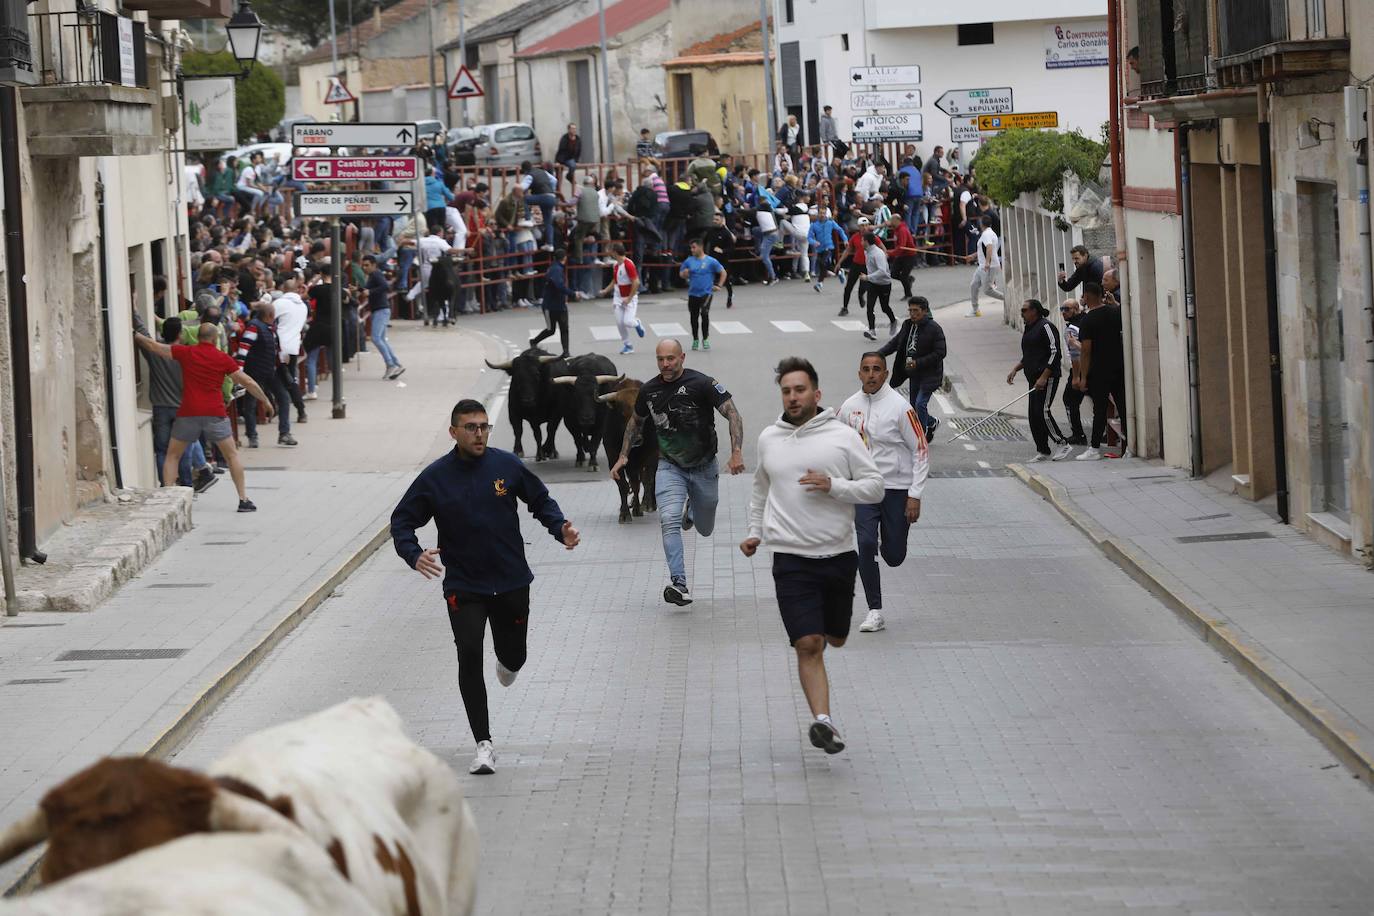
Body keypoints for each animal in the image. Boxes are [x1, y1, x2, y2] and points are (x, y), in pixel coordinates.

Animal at [599, 379, 656, 521]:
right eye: (622, 413)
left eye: (645, 416)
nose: (637, 439)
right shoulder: (613, 459)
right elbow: (623, 485)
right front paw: (625, 513)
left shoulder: (648, 457)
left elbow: (644, 481)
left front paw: (641, 507)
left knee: (647, 480)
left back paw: (648, 504)